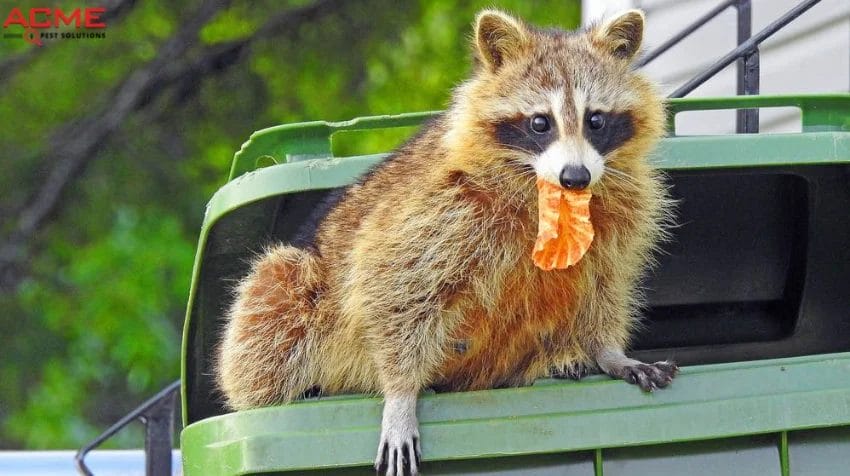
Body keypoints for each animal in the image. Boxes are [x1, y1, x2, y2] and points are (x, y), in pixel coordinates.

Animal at [216, 9, 676, 475]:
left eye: (595, 120)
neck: (550, 192)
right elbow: (388, 282)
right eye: (540, 122)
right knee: (275, 297)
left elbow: (604, 284)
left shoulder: (621, 213)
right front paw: (400, 394)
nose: (576, 177)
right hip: (295, 289)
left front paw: (607, 350)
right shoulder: (440, 205)